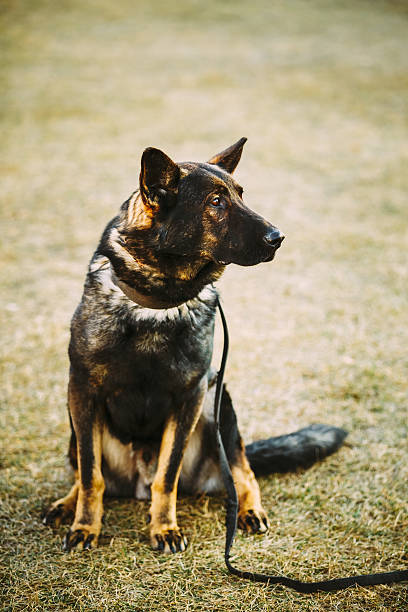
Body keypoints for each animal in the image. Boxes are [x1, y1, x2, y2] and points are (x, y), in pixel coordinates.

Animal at [43, 140, 346, 556]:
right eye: (216, 202)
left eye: (241, 195)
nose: (278, 237)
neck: (159, 301)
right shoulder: (83, 391)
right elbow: (91, 475)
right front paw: (86, 525)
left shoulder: (190, 396)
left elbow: (166, 475)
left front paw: (164, 527)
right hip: (77, 421)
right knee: (82, 470)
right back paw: (66, 504)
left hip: (218, 403)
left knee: (242, 469)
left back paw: (248, 509)